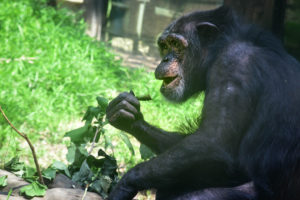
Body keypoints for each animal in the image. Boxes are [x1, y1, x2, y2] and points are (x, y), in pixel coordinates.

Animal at [105, 5, 300, 199]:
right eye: (165, 45)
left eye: (176, 44)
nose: (165, 59)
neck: (220, 48)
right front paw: (127, 114)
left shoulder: (234, 65)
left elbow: (212, 142)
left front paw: (126, 182)